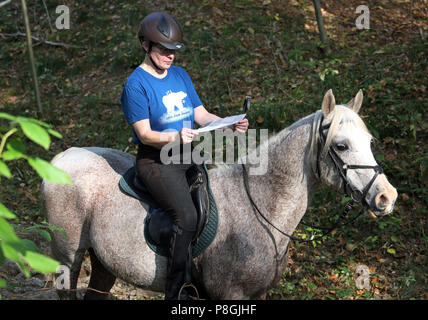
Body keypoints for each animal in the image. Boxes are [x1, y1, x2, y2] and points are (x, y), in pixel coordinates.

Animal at [42, 89, 398, 298]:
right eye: (341, 145)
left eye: (368, 141)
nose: (386, 197)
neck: (260, 207)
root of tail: (64, 156)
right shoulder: (229, 295)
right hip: (68, 258)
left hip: (104, 261)